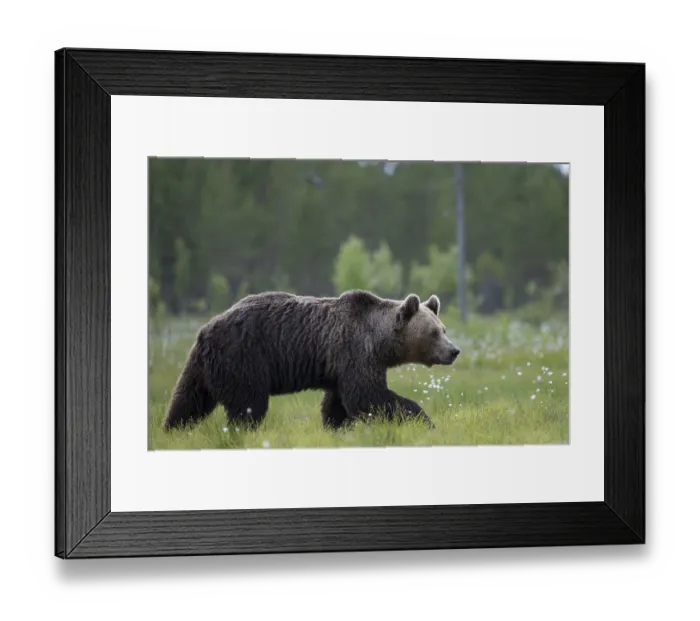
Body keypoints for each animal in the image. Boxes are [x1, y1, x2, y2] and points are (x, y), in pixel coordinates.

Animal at [162, 289, 461, 432]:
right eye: (434, 332)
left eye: (444, 329)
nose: (454, 351)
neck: (379, 342)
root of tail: (206, 328)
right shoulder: (354, 352)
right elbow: (368, 397)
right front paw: (424, 420)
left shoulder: (340, 367)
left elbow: (338, 404)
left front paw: (336, 428)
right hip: (243, 358)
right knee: (248, 404)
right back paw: (243, 430)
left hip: (203, 366)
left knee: (188, 400)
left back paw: (173, 429)